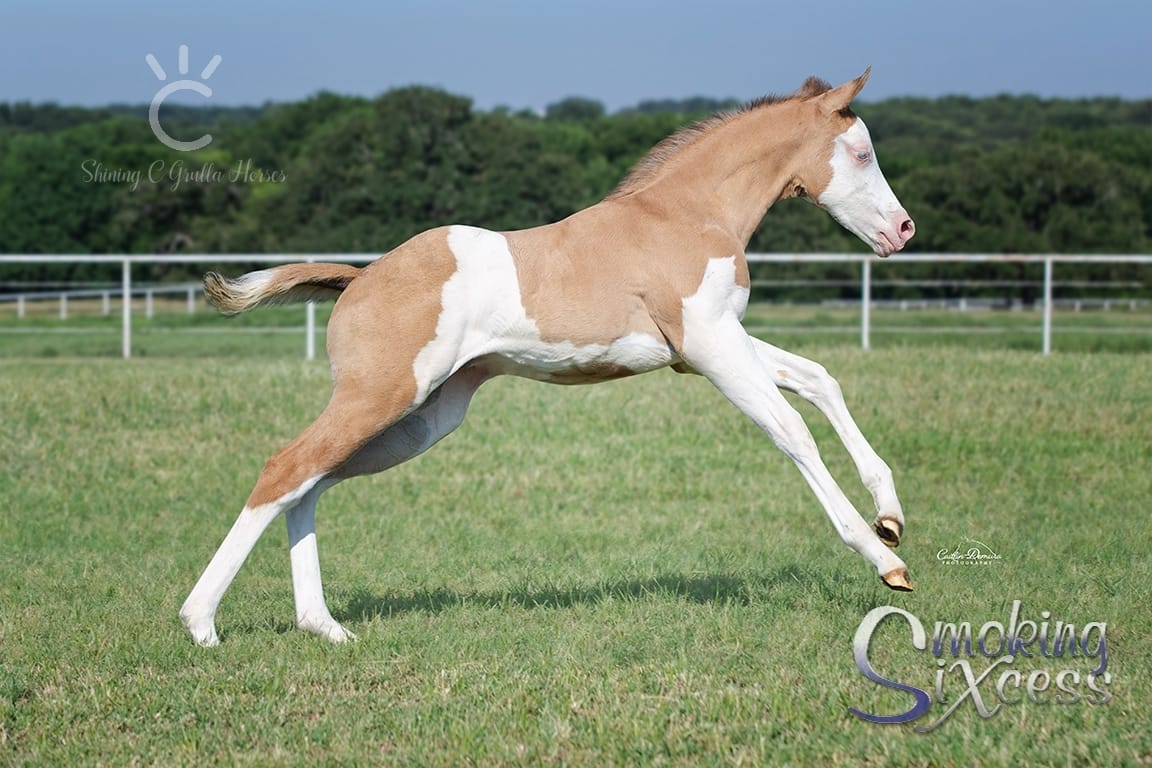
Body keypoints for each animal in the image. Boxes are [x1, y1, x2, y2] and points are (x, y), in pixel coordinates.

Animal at [179, 67, 916, 649]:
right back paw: (201, 623)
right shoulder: (709, 346)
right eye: (860, 152)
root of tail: (358, 278)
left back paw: (324, 626)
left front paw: (891, 516)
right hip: (381, 397)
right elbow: (791, 430)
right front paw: (882, 559)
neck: (683, 213)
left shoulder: (709, 343)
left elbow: (820, 381)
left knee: (309, 483)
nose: (903, 229)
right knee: (286, 469)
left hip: (421, 418)